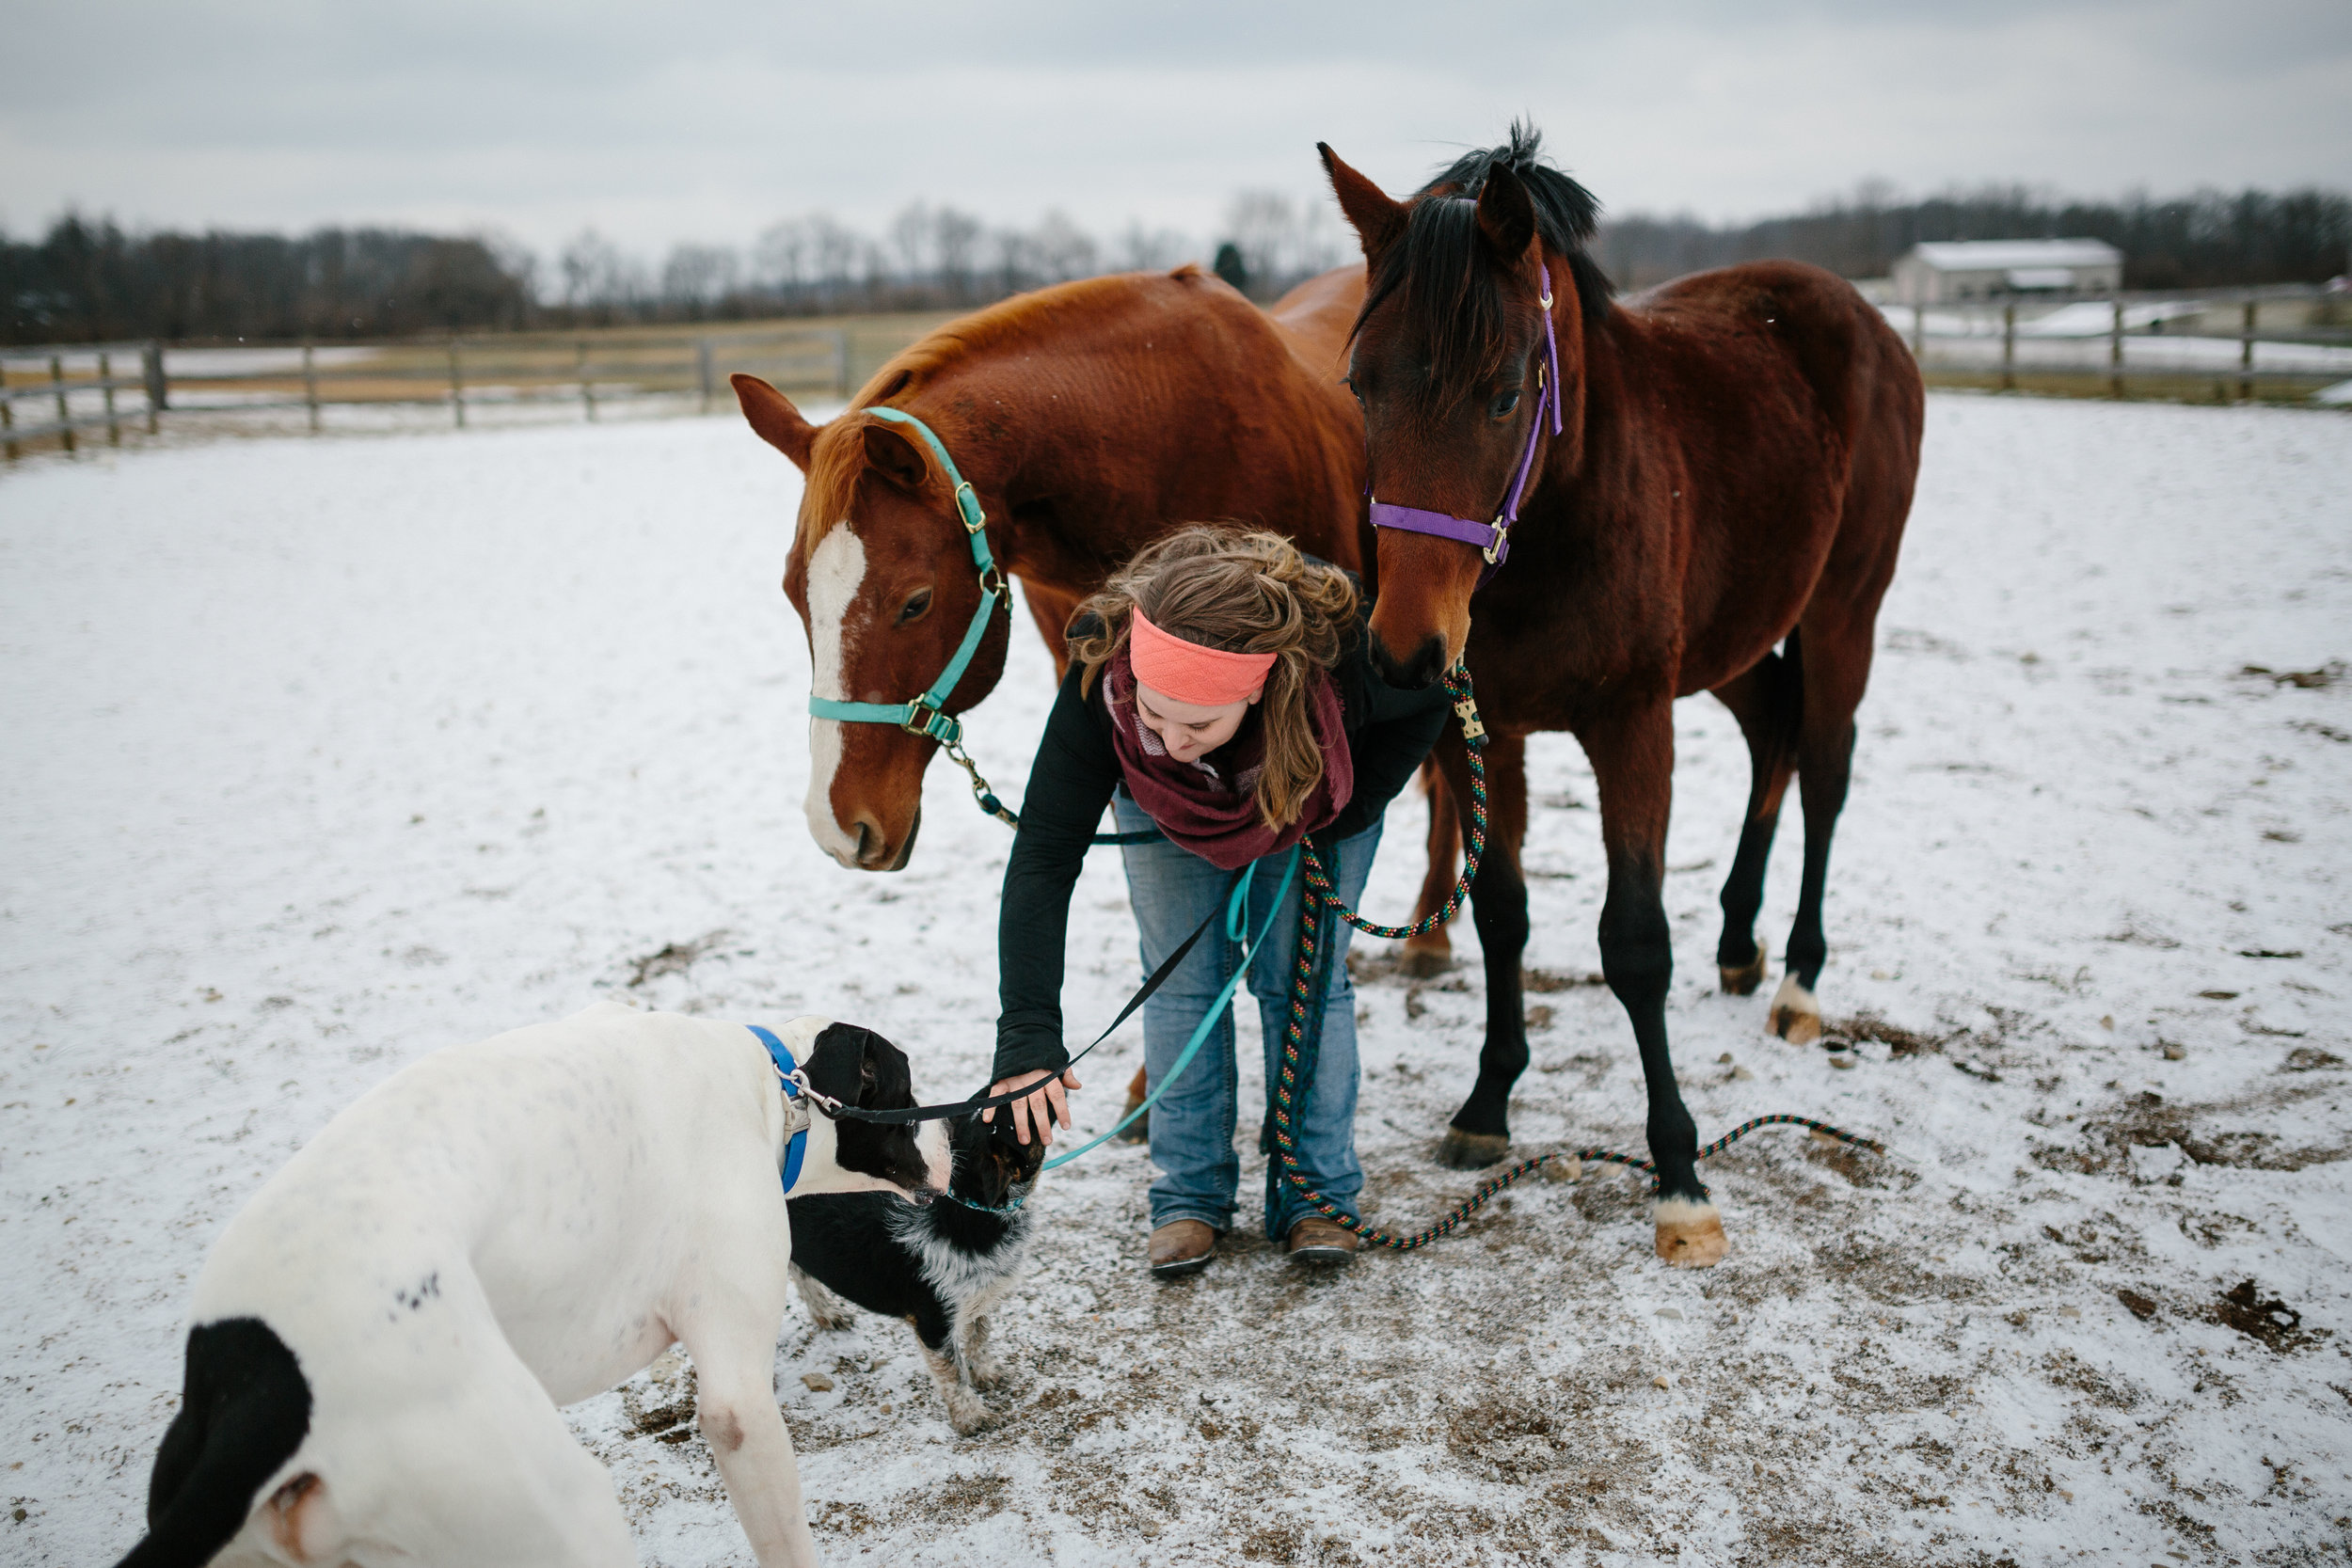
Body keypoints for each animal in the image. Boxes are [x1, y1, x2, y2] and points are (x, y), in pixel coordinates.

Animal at [101, 1006, 946, 1568]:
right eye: (907, 1092)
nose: (950, 1138)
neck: (776, 1086)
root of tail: (252, 1379)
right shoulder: (737, 1404)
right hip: (559, 1508)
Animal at [790, 1109, 1040, 1429]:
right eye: (1026, 1117)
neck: (966, 1212)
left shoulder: (978, 1295)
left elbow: (980, 1334)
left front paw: (986, 1373)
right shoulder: (933, 1322)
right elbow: (953, 1373)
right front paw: (972, 1417)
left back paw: (828, 1314)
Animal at [1317, 128, 1919, 1269]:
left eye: (1504, 392)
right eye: (1359, 386)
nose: (1406, 650)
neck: (1564, 507)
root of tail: (1859, 314)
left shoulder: (1634, 722)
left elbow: (1633, 944)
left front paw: (1680, 1176)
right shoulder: (1491, 727)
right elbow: (1502, 915)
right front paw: (1487, 1104)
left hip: (1842, 612)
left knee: (1825, 767)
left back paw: (1798, 982)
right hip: (1732, 642)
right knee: (1774, 730)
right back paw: (1738, 942)